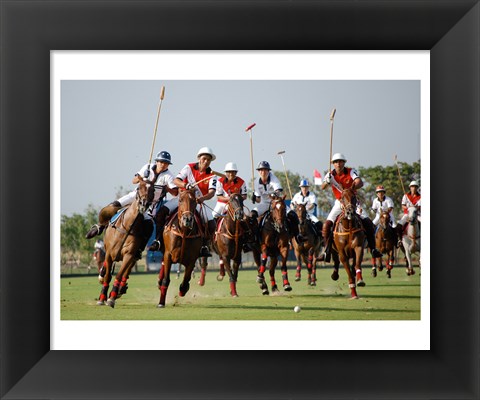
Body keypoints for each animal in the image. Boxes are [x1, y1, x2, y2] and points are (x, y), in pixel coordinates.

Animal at [98, 180, 155, 308]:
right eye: (139, 188)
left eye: (153, 189)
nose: (144, 204)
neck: (128, 227)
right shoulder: (109, 254)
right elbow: (108, 276)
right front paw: (102, 297)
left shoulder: (129, 255)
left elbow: (119, 275)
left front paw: (112, 298)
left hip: (134, 256)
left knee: (125, 273)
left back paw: (120, 289)